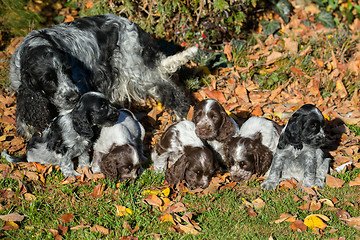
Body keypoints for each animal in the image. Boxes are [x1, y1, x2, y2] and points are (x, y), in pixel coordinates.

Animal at [11, 13, 198, 139]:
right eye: (48, 80)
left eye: (68, 71)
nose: (74, 97)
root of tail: (138, 29)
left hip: (138, 71)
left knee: (171, 93)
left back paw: (182, 118)